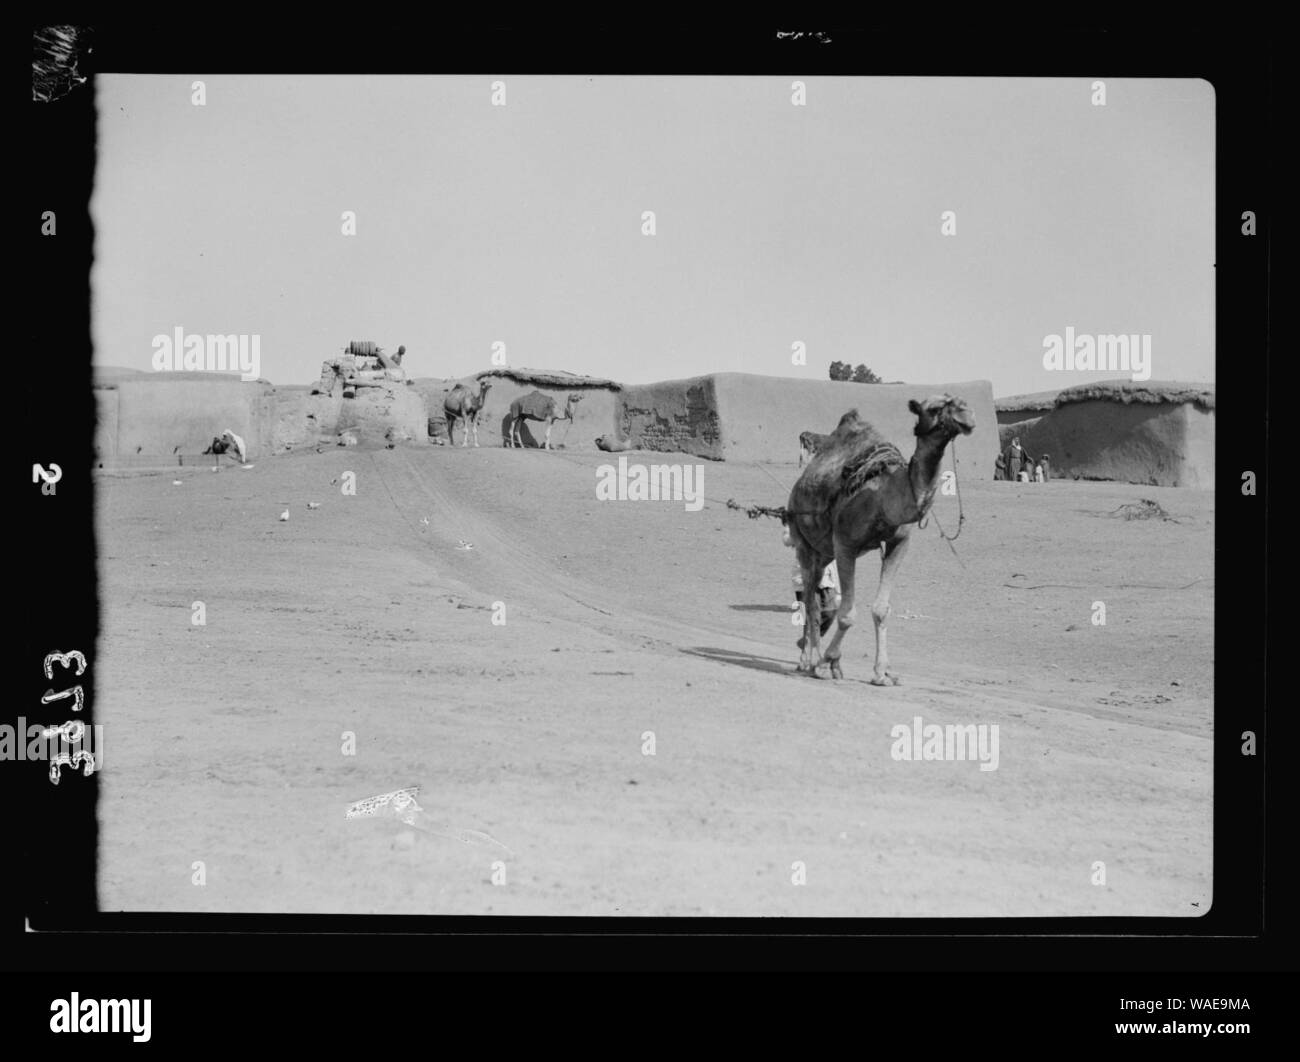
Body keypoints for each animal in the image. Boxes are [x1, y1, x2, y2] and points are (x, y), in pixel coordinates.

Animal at [780, 392, 977, 681]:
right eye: (935, 408)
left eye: (960, 402)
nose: (967, 416)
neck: (884, 496)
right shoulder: (845, 543)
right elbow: (847, 614)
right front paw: (826, 661)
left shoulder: (898, 543)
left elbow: (881, 609)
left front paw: (882, 673)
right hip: (802, 541)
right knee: (810, 600)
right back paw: (811, 661)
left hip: (824, 551)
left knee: (813, 593)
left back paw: (819, 662)